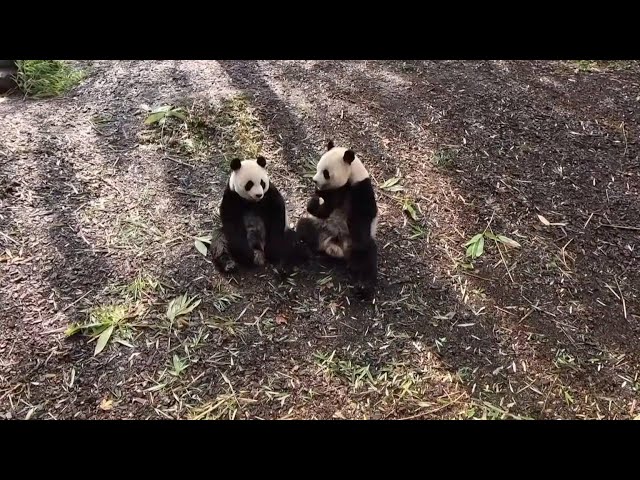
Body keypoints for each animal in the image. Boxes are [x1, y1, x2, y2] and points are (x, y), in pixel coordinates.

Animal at [296, 139, 380, 296]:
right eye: (317, 167)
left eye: (326, 173)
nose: (314, 181)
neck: (351, 176)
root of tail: (335, 246)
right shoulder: (334, 194)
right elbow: (324, 211)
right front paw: (314, 200)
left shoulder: (360, 189)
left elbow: (363, 216)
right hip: (322, 227)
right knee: (304, 226)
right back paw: (306, 250)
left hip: (356, 244)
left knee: (367, 256)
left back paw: (363, 286)